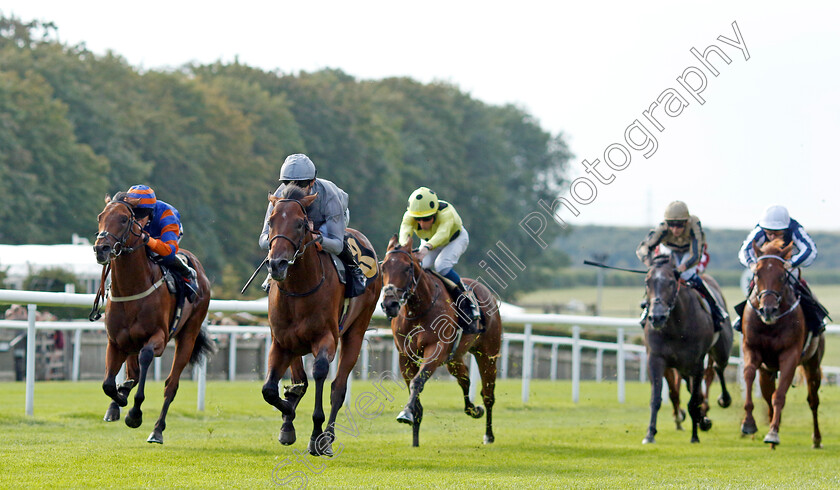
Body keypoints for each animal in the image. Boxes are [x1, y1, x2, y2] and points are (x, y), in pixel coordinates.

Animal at [93, 194, 212, 444]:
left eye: (124, 218)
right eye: (101, 216)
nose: (101, 248)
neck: (132, 288)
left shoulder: (158, 337)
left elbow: (146, 358)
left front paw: (134, 414)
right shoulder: (116, 342)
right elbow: (108, 383)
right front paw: (119, 399)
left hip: (188, 334)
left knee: (171, 385)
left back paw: (157, 430)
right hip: (130, 343)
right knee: (133, 374)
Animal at [260, 187, 382, 456]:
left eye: (300, 224)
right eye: (271, 222)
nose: (277, 265)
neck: (298, 289)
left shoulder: (326, 338)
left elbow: (319, 373)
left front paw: (316, 435)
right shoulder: (282, 342)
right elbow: (271, 390)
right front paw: (288, 416)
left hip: (356, 331)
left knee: (338, 388)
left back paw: (328, 437)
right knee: (301, 381)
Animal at [378, 235, 498, 446]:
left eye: (407, 268)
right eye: (384, 267)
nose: (389, 304)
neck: (418, 309)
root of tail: (486, 292)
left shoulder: (436, 349)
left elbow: (417, 382)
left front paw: (406, 413)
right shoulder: (404, 355)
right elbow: (413, 389)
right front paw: (414, 434)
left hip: (488, 353)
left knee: (488, 394)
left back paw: (488, 435)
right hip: (454, 358)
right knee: (465, 380)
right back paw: (473, 409)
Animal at [640, 256, 732, 444]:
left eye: (671, 282)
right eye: (647, 282)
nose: (657, 317)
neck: (676, 326)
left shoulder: (696, 363)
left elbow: (694, 401)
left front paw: (694, 436)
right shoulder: (656, 358)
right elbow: (656, 398)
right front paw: (650, 434)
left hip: (721, 351)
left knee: (718, 367)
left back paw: (723, 400)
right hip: (682, 368)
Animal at [740, 239, 824, 450]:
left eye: (782, 275)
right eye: (757, 273)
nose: (767, 310)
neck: (771, 325)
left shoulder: (790, 355)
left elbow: (780, 396)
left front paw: (772, 433)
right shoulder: (751, 349)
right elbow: (749, 375)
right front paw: (748, 423)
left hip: (813, 364)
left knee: (813, 400)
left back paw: (816, 439)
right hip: (767, 372)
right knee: (768, 396)